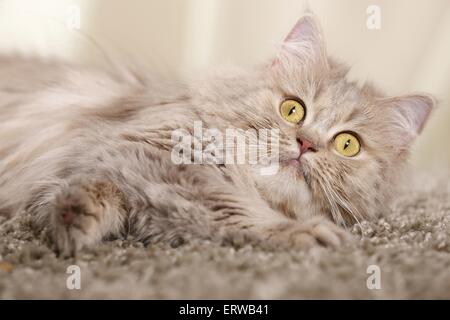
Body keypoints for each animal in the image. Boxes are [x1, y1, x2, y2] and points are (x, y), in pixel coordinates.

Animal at [0, 13, 436, 256]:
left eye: (347, 144)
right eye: (292, 109)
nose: (306, 143)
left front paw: (74, 219)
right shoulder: (152, 154)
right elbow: (237, 209)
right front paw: (305, 233)